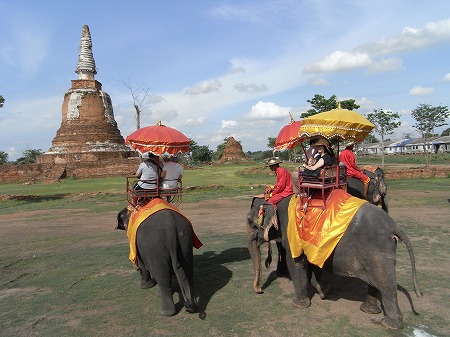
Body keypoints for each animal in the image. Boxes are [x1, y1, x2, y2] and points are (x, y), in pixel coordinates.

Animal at [248, 194, 424, 328]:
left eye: (250, 221)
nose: (260, 290)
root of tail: (393, 225)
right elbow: (313, 264)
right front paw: (324, 291)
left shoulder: (292, 234)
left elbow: (297, 263)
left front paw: (298, 304)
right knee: (377, 282)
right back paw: (369, 310)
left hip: (378, 250)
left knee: (386, 284)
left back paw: (389, 325)